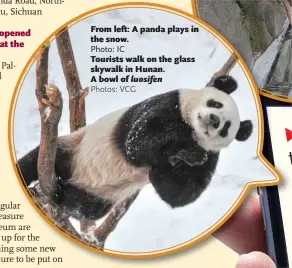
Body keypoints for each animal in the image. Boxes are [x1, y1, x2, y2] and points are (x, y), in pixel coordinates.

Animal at [17, 75, 253, 220]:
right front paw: (187, 151)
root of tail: (73, 178)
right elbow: (138, 143)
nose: (214, 119)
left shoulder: (211, 158)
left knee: (88, 208)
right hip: (73, 149)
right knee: (37, 160)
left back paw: (65, 196)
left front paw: (163, 169)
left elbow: (183, 194)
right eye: (215, 104)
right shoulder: (168, 103)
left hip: (100, 194)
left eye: (226, 127)